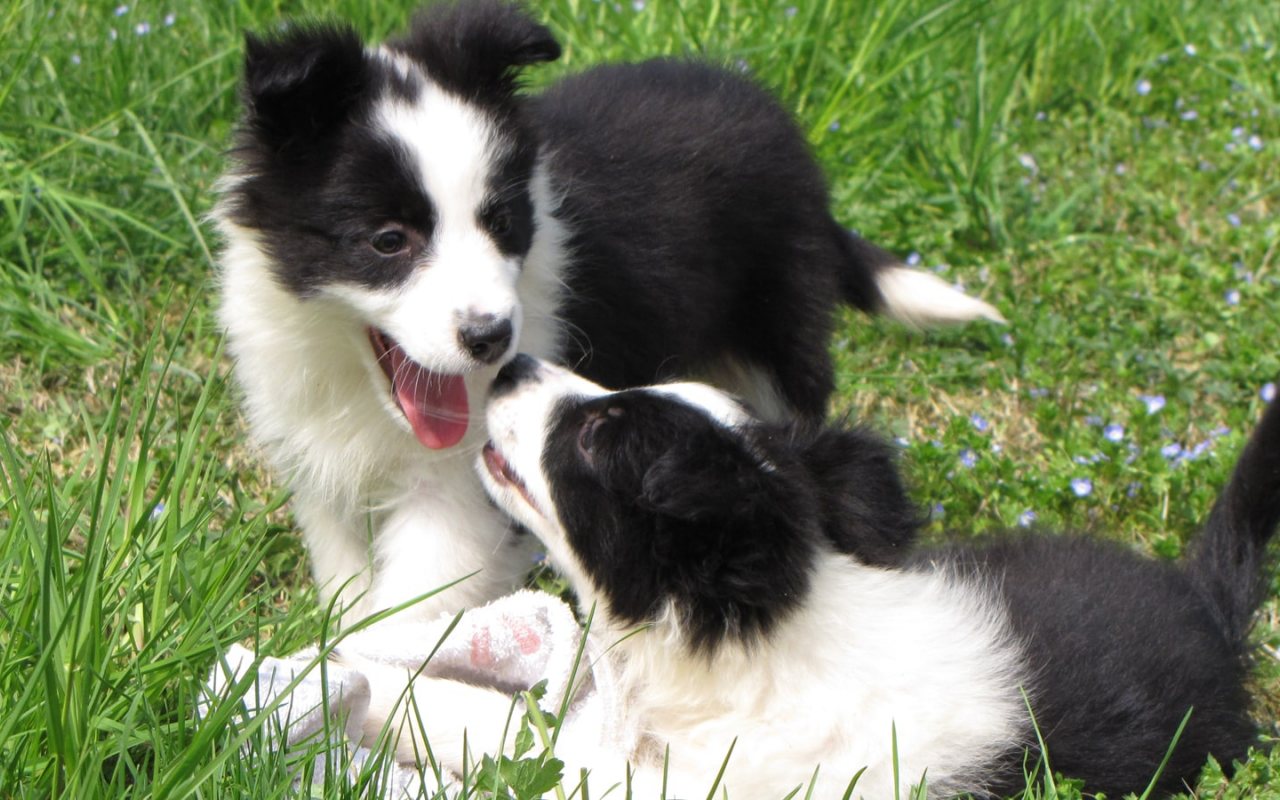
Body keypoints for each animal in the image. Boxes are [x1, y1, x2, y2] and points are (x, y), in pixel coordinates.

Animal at [215, 0, 1003, 624]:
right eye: (388, 241)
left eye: (503, 222)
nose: (492, 339)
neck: (358, 382)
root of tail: (767, 109)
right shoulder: (315, 448)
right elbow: (347, 579)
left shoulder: (458, 492)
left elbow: (409, 608)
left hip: (781, 324)